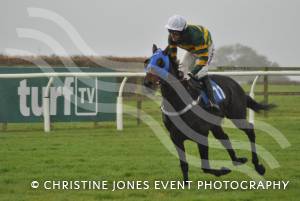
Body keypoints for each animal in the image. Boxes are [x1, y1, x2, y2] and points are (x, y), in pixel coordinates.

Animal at [144, 44, 276, 182]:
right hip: (215, 124)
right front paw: (186, 183)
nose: (147, 82)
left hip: (236, 115)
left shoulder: (201, 134)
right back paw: (237, 160)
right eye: (147, 62)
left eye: (160, 62)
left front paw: (223, 170)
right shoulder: (176, 138)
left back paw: (258, 166)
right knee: (224, 137)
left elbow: (205, 166)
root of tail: (235, 84)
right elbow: (184, 164)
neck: (178, 101)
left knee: (249, 130)